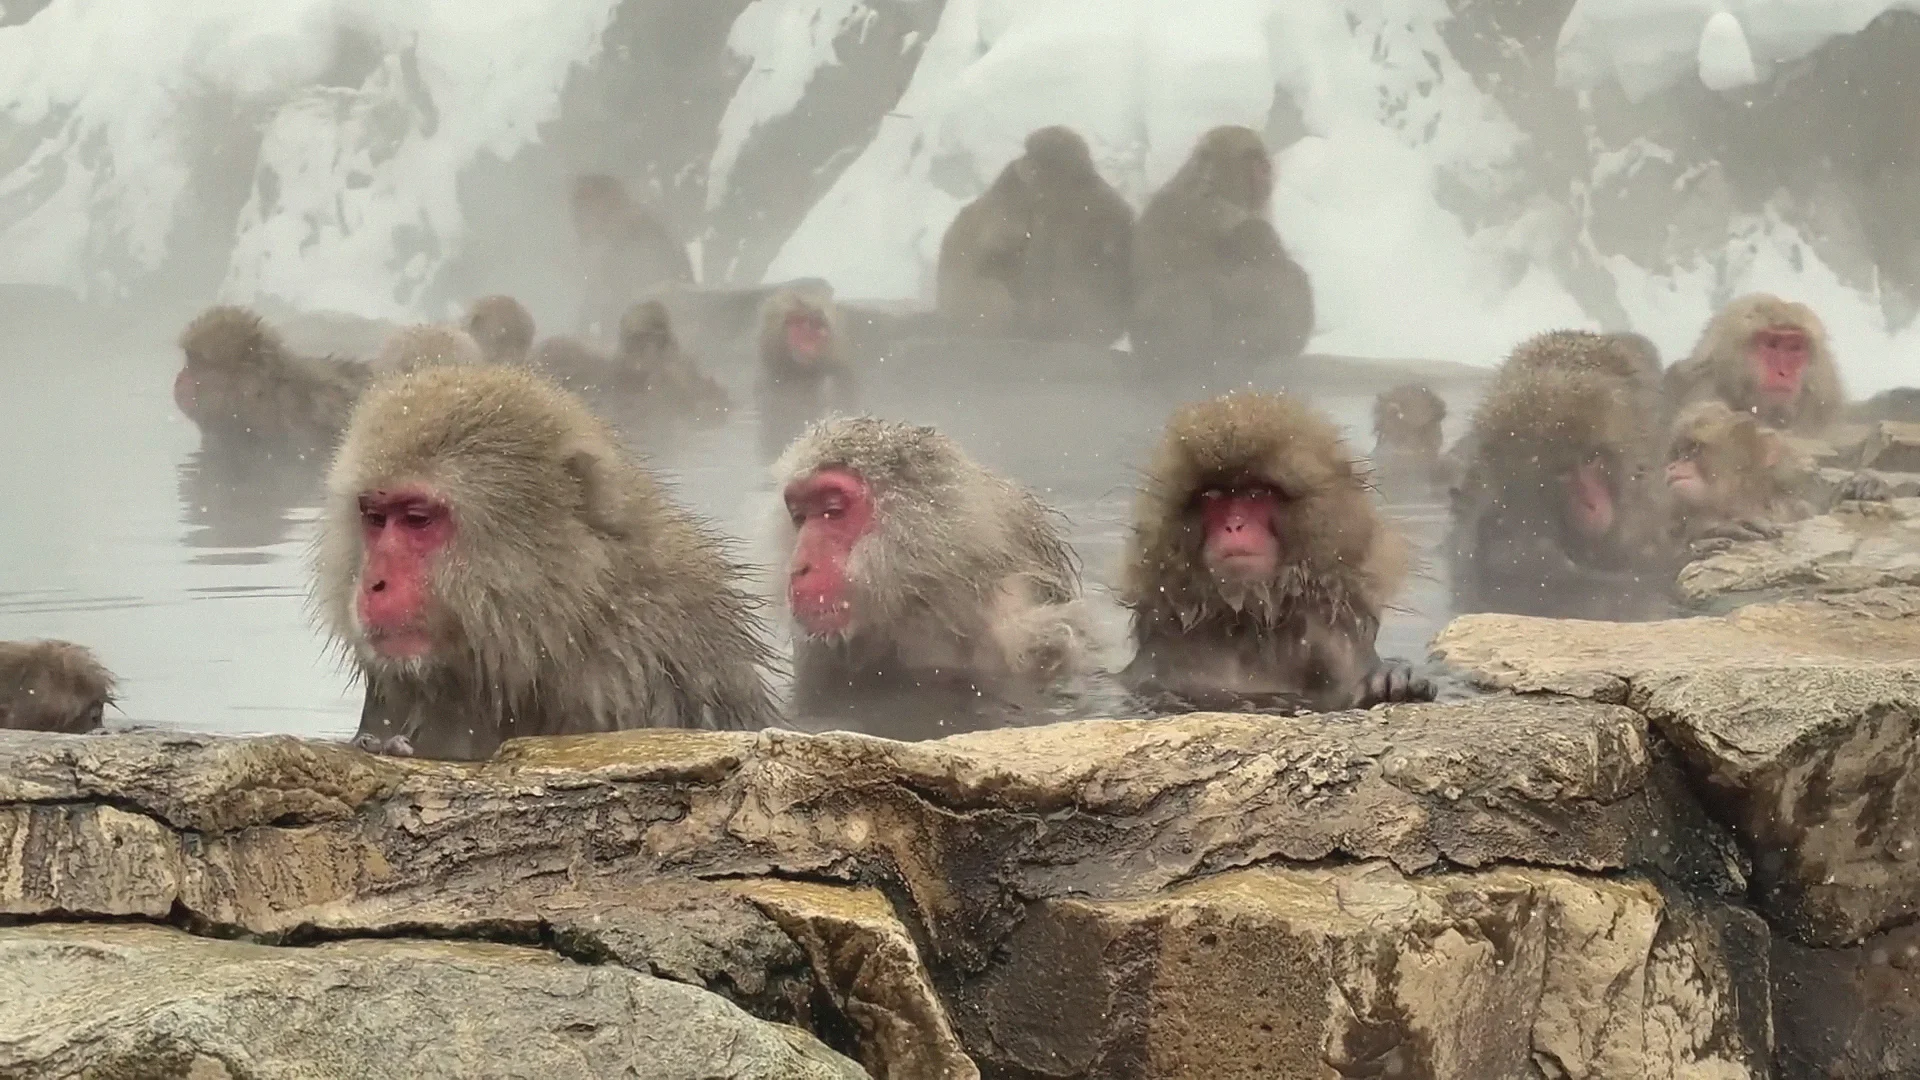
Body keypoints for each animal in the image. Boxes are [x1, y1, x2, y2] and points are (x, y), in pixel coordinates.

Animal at [1119, 391, 1432, 713]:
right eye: (1213, 496)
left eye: (1257, 493)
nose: (1234, 525)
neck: (1250, 626)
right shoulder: (1163, 656)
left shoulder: (1336, 646)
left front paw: (1393, 681)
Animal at [1129, 126, 1315, 368]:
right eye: (1251, 159)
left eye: (1261, 159)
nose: (1266, 169)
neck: (1214, 187)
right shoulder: (1214, 209)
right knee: (1192, 290)